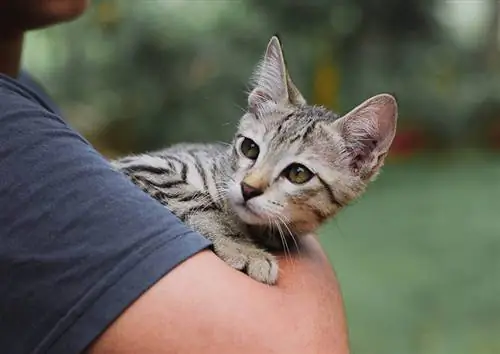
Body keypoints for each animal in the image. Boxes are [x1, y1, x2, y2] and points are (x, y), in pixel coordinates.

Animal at [114, 36, 398, 284]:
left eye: (298, 173)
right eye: (249, 148)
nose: (248, 188)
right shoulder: (144, 164)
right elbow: (192, 197)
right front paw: (241, 247)